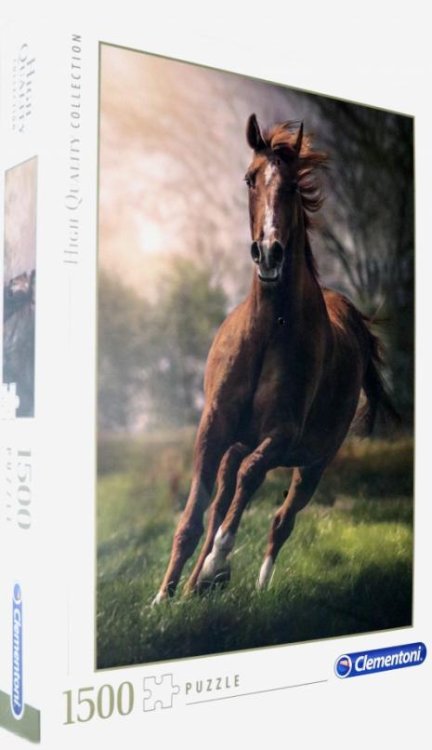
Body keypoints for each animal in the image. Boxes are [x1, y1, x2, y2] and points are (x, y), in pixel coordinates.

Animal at [153, 114, 397, 603]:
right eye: (250, 178)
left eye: (291, 186)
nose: (269, 253)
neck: (267, 331)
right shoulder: (213, 428)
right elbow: (194, 515)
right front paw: (163, 599)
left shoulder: (283, 434)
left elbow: (249, 483)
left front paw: (217, 563)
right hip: (245, 443)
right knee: (225, 497)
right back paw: (194, 587)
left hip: (314, 464)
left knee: (280, 519)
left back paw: (251, 585)